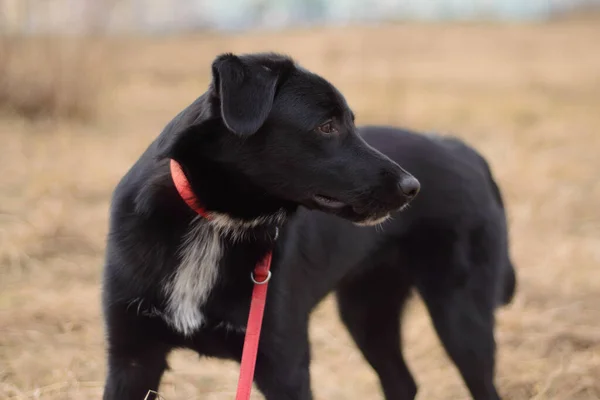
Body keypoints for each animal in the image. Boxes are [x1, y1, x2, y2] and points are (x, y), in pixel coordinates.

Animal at [101, 52, 512, 400]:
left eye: (351, 123)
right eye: (327, 126)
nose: (412, 188)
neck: (215, 223)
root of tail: (462, 150)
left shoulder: (283, 362)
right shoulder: (132, 357)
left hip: (461, 314)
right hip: (368, 311)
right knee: (402, 381)